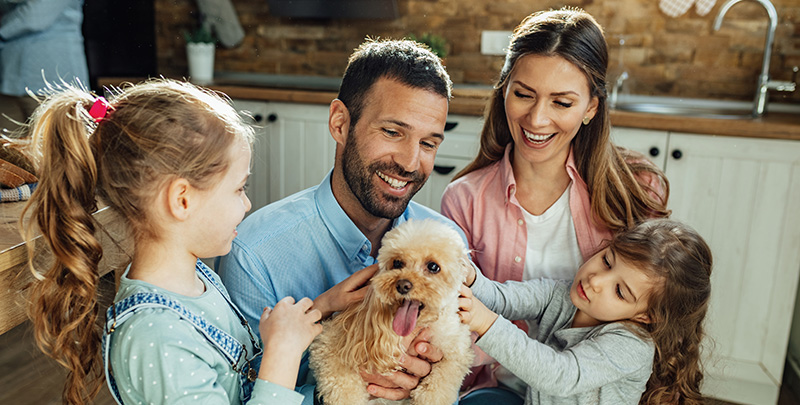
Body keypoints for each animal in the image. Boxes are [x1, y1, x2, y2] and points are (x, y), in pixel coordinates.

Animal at [310, 219, 476, 402]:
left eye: (433, 266)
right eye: (397, 263)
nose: (403, 285)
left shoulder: (456, 350)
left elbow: (438, 386)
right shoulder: (329, 344)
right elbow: (343, 387)